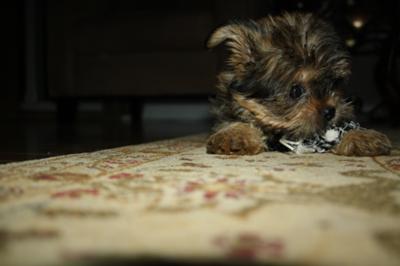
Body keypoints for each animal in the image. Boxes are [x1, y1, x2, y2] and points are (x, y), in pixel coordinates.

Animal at [206, 12, 390, 157]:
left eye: (333, 83)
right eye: (296, 91)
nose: (330, 111)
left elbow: (343, 127)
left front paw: (361, 136)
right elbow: (233, 122)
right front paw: (235, 135)